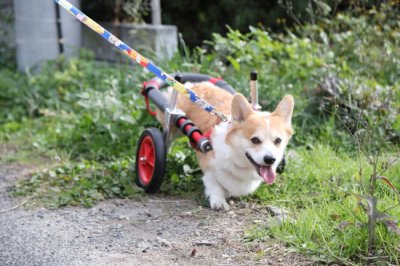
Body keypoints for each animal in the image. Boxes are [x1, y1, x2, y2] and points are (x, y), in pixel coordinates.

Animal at [162, 82, 294, 211]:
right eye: (255, 140)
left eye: (278, 140)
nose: (270, 160)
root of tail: (193, 85)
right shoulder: (208, 165)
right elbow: (214, 184)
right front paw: (219, 201)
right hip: (174, 125)